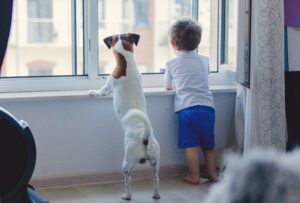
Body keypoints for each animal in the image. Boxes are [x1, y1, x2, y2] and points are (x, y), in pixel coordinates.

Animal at [88, 33, 161, 200]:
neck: (127, 64)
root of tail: (145, 136)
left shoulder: (108, 85)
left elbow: (101, 91)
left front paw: (92, 92)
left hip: (127, 162)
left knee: (128, 180)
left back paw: (126, 195)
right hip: (156, 162)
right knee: (156, 178)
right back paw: (155, 194)